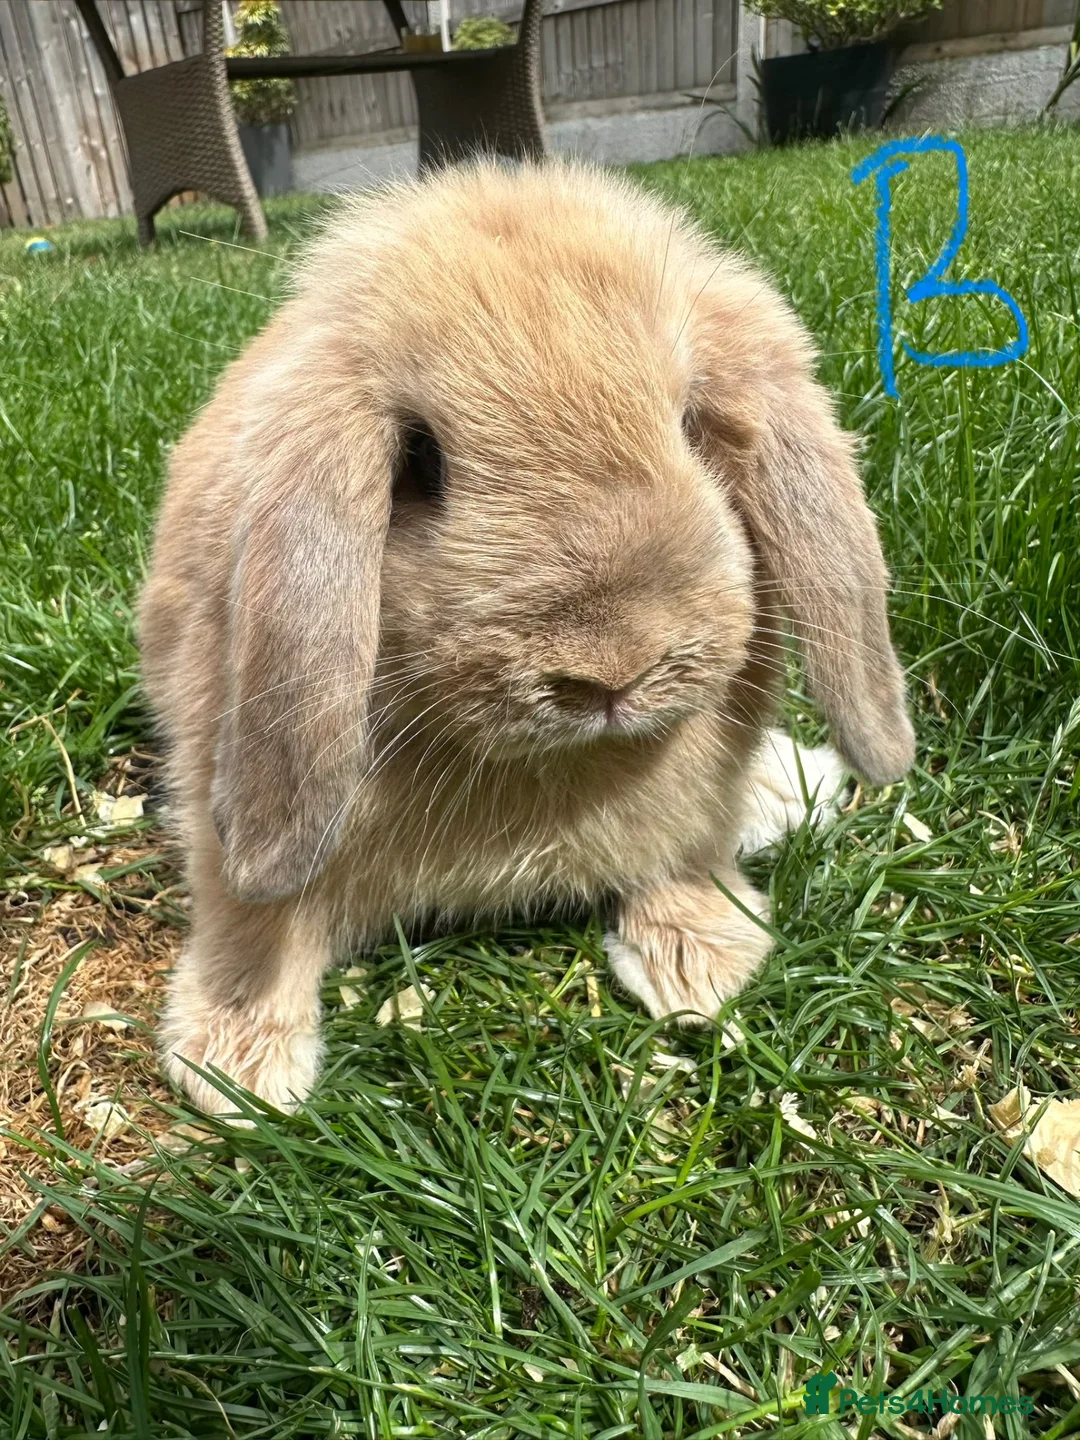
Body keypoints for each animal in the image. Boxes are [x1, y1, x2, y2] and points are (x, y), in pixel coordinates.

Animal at [140, 159, 914, 1116]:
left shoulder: (691, 812)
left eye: (691, 424)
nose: (612, 673)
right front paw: (234, 1070)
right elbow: (256, 926)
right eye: (420, 461)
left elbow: (685, 862)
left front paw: (702, 968)